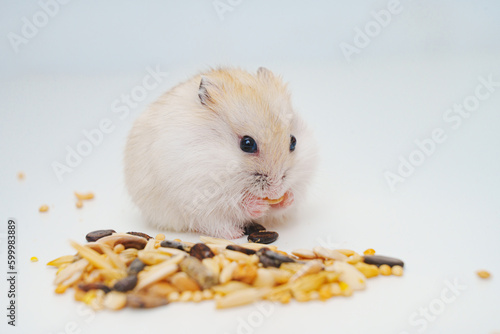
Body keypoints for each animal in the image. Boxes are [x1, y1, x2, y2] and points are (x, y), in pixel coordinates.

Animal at [125, 67, 318, 237]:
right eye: (247, 144)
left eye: (293, 142)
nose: (275, 192)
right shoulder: (201, 187)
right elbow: (233, 202)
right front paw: (258, 205)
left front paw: (286, 198)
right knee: (209, 224)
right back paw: (234, 234)